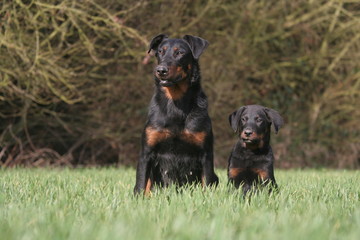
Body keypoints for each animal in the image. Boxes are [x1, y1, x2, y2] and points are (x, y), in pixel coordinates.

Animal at [134, 33, 219, 195]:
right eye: (160, 52)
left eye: (180, 52)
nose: (160, 70)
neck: (175, 102)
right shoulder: (146, 153)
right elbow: (141, 184)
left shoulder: (206, 154)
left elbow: (207, 182)